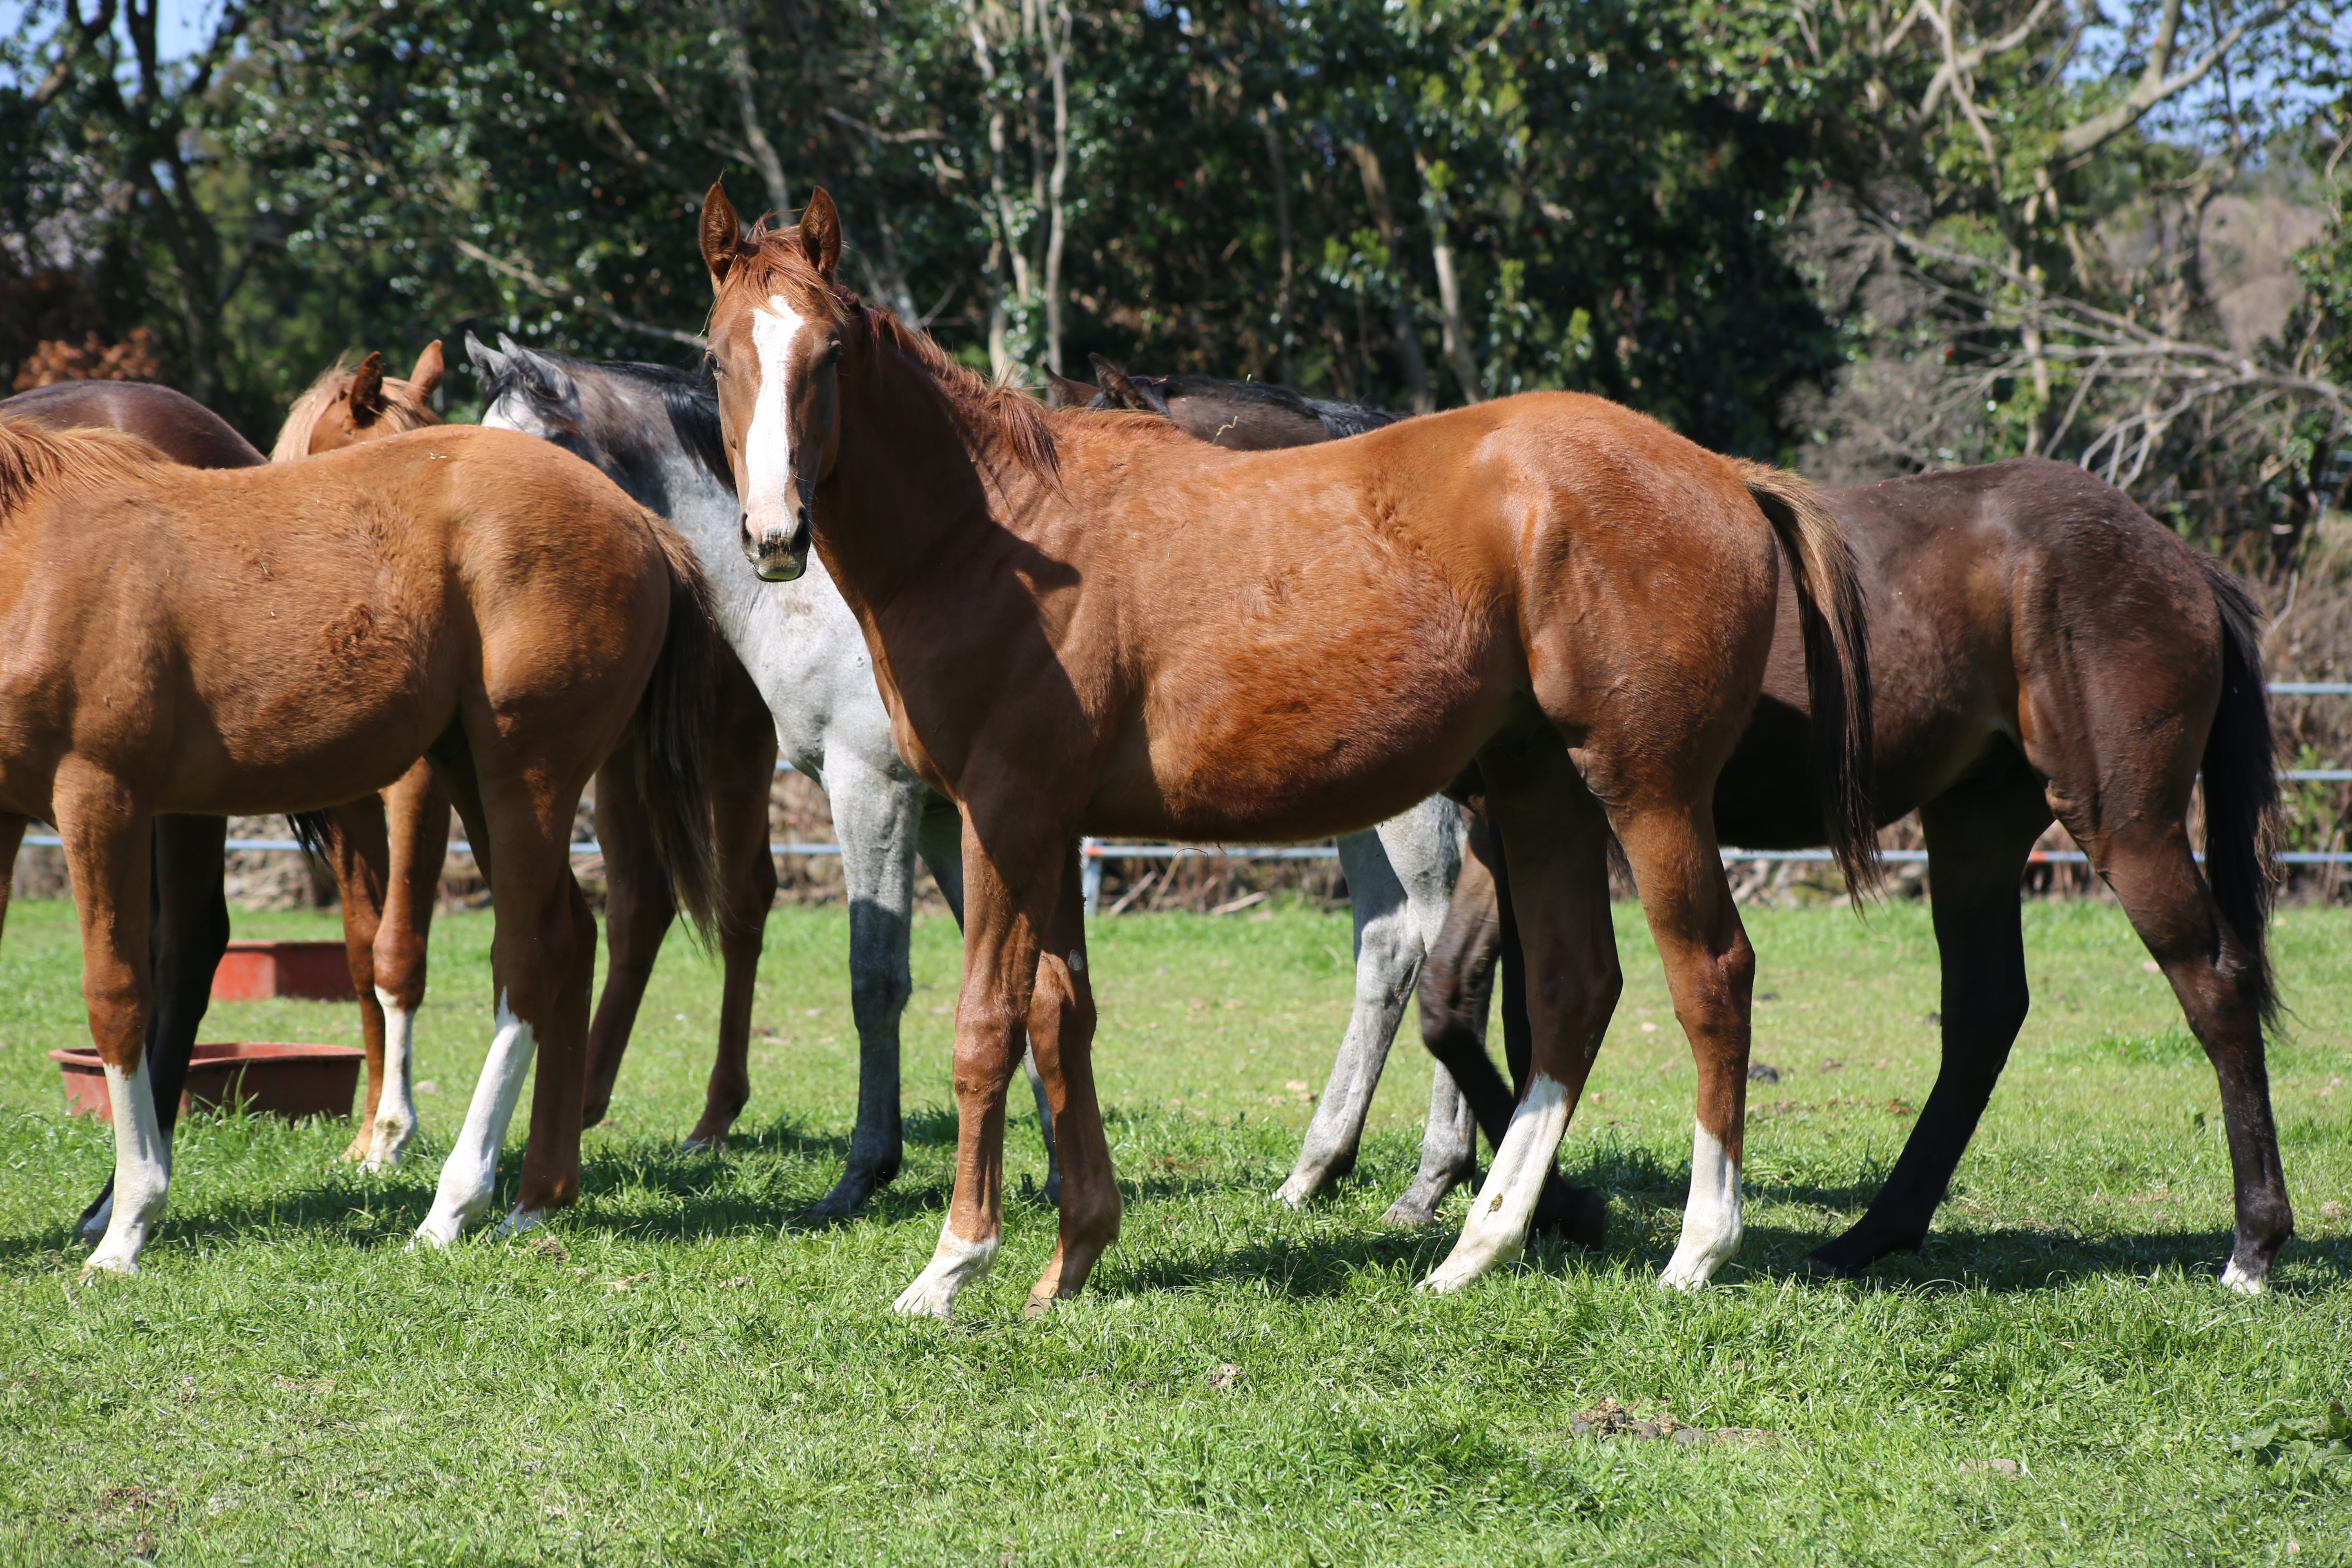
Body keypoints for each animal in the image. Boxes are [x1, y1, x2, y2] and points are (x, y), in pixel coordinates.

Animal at [691, 181, 1872, 1316]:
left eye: (829, 351)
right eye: (718, 353)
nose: (774, 534)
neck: (996, 537)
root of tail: (1723, 474)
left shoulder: (1004, 815)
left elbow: (986, 1027)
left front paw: (952, 1265)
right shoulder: (1051, 829)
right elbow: (1061, 1019)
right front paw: (1074, 1255)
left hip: (1647, 791)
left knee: (1709, 974)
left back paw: (1695, 1251)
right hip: (1543, 791)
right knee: (1572, 991)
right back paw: (1476, 1251)